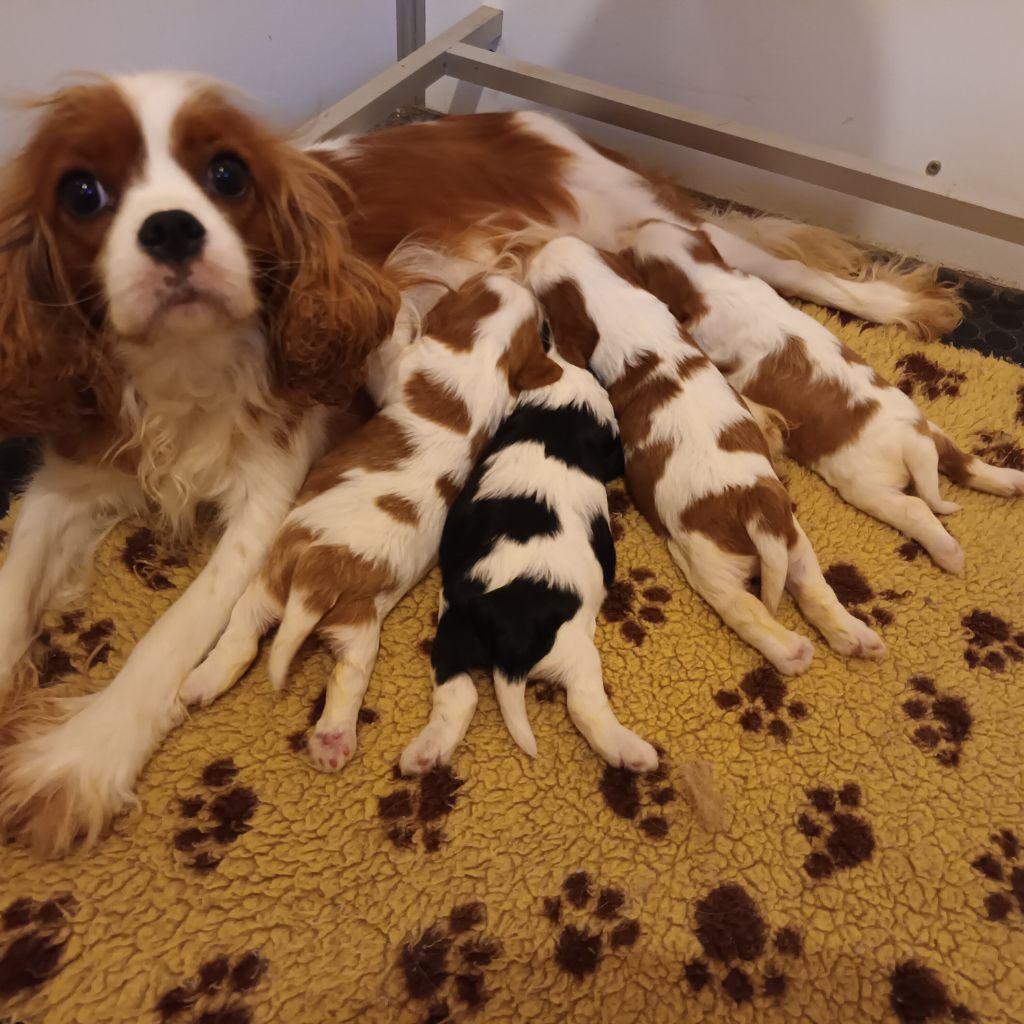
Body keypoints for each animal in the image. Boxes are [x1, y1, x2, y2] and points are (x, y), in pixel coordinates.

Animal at [397, 346, 655, 774]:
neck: (558, 413)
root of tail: (510, 631)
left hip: (452, 632)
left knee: (458, 693)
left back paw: (425, 753)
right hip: (576, 651)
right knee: (585, 704)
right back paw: (633, 753)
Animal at [524, 235, 884, 675]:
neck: (622, 311)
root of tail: (752, 507)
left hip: (712, 569)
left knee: (747, 611)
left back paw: (794, 653)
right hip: (794, 541)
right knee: (816, 590)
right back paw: (856, 637)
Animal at [622, 222, 1024, 577]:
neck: (707, 278)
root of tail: (913, 444)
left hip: (871, 489)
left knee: (916, 509)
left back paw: (949, 553)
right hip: (930, 430)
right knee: (963, 462)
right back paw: (1010, 480)